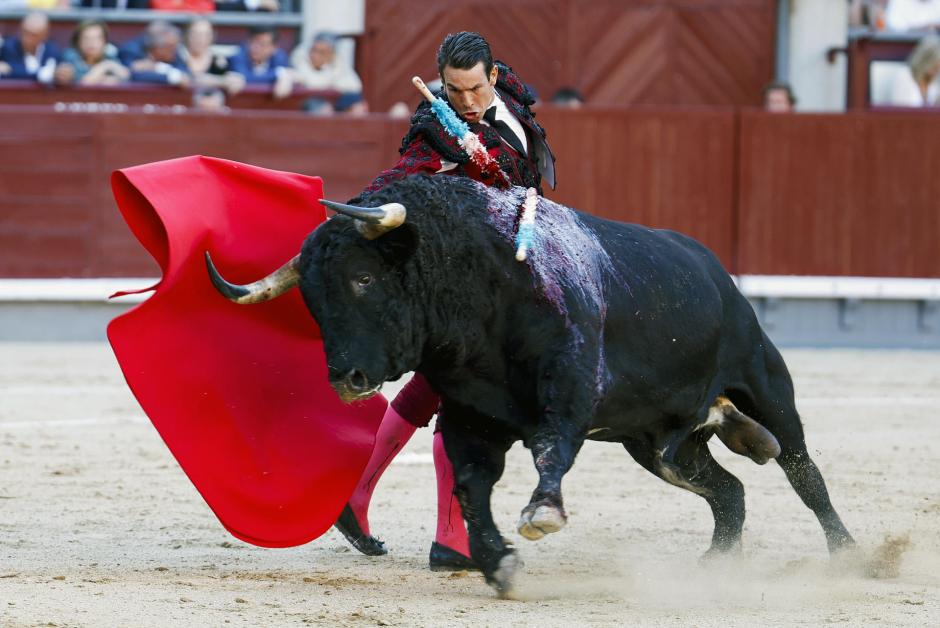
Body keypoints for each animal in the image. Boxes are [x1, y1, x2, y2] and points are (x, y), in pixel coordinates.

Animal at [209, 174, 856, 596]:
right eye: (313, 300)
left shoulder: (569, 390)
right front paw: (498, 565)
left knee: (801, 469)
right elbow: (471, 485)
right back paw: (716, 566)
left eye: (364, 278)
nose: (346, 379)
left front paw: (541, 514)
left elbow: (551, 449)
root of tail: (719, 273)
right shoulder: (470, 415)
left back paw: (848, 553)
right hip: (656, 444)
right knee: (728, 491)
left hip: (765, 386)